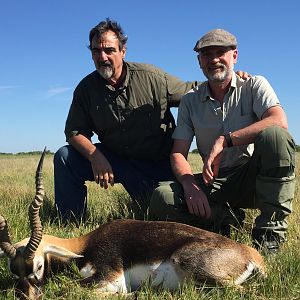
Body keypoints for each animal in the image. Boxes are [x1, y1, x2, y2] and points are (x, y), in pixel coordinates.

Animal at [0, 150, 264, 298]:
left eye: (38, 266)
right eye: (13, 271)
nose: (27, 297)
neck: (83, 247)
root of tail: (253, 255)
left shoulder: (110, 278)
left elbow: (69, 290)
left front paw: (131, 295)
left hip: (191, 265)